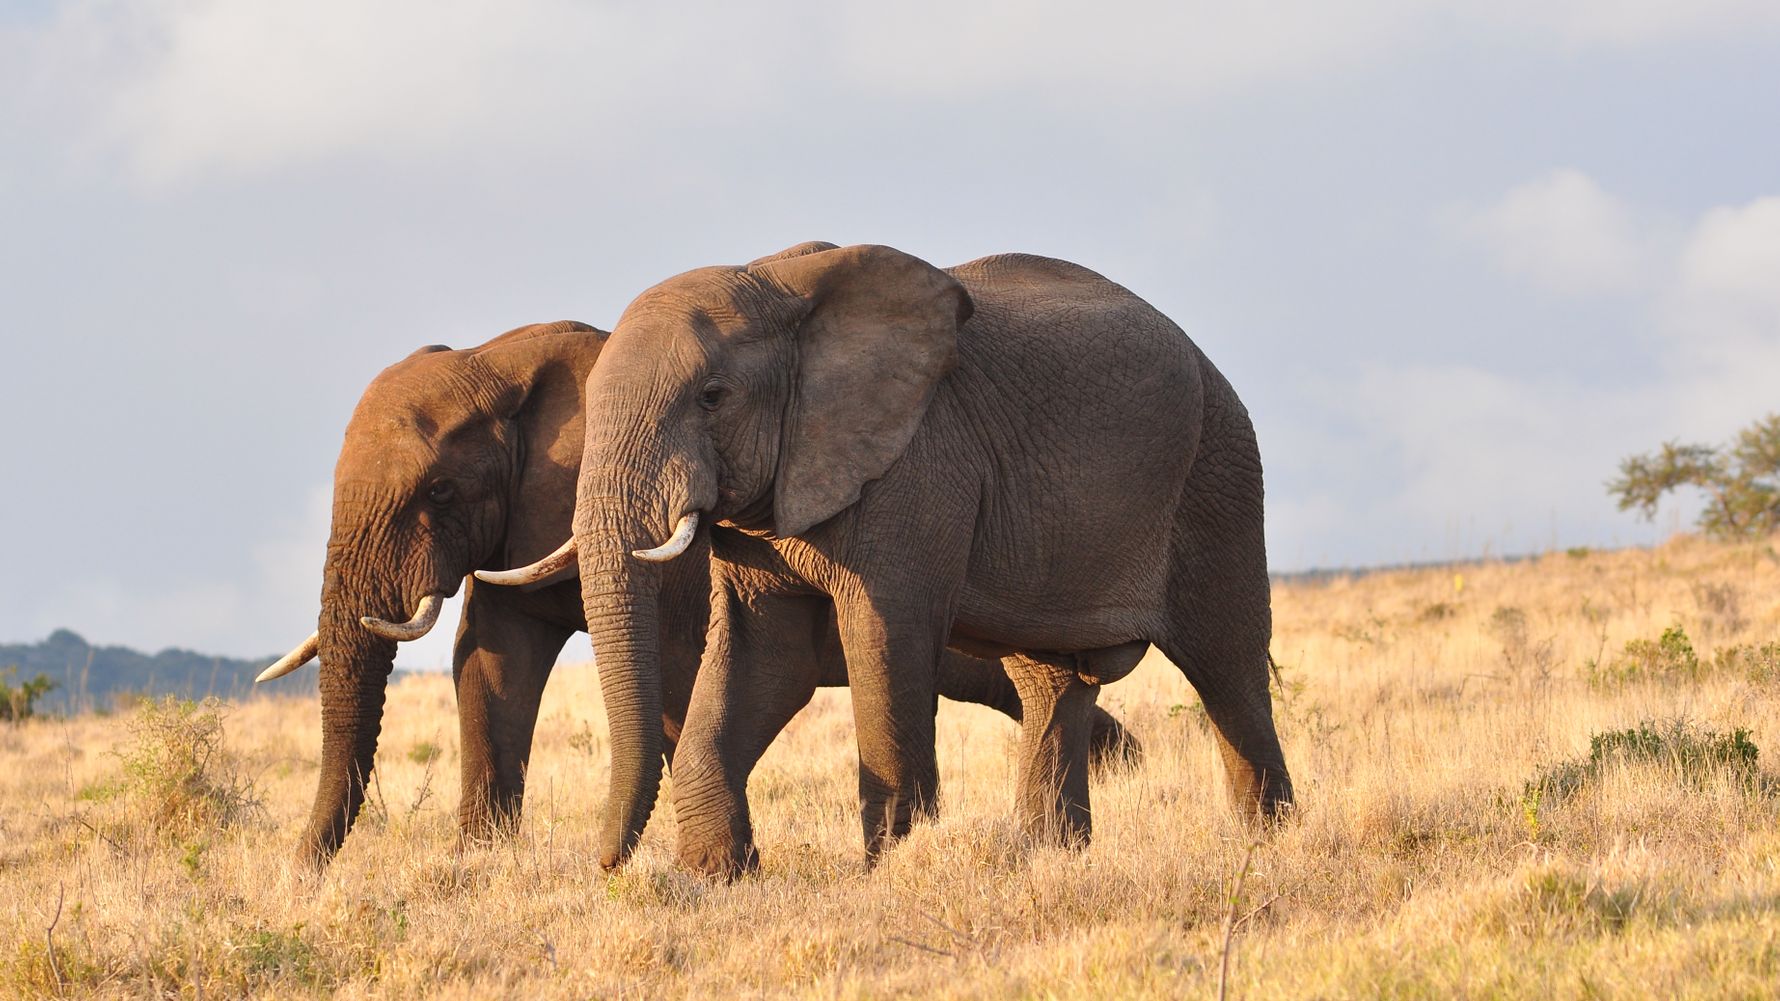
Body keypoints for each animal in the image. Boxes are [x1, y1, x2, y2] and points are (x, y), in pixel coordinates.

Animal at [259, 319, 1137, 868]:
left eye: (438, 491)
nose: (297, 875)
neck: (503, 358)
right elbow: (490, 661)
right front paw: (479, 865)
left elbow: (682, 676)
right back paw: (1121, 769)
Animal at [482, 242, 1294, 877]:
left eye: (712, 396)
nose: (606, 864)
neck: (779, 285)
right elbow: (761, 659)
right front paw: (715, 876)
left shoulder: (917, 470)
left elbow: (884, 643)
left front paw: (890, 871)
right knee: (1052, 682)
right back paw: (1052, 858)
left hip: (1219, 471)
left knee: (1228, 669)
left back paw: (1267, 846)